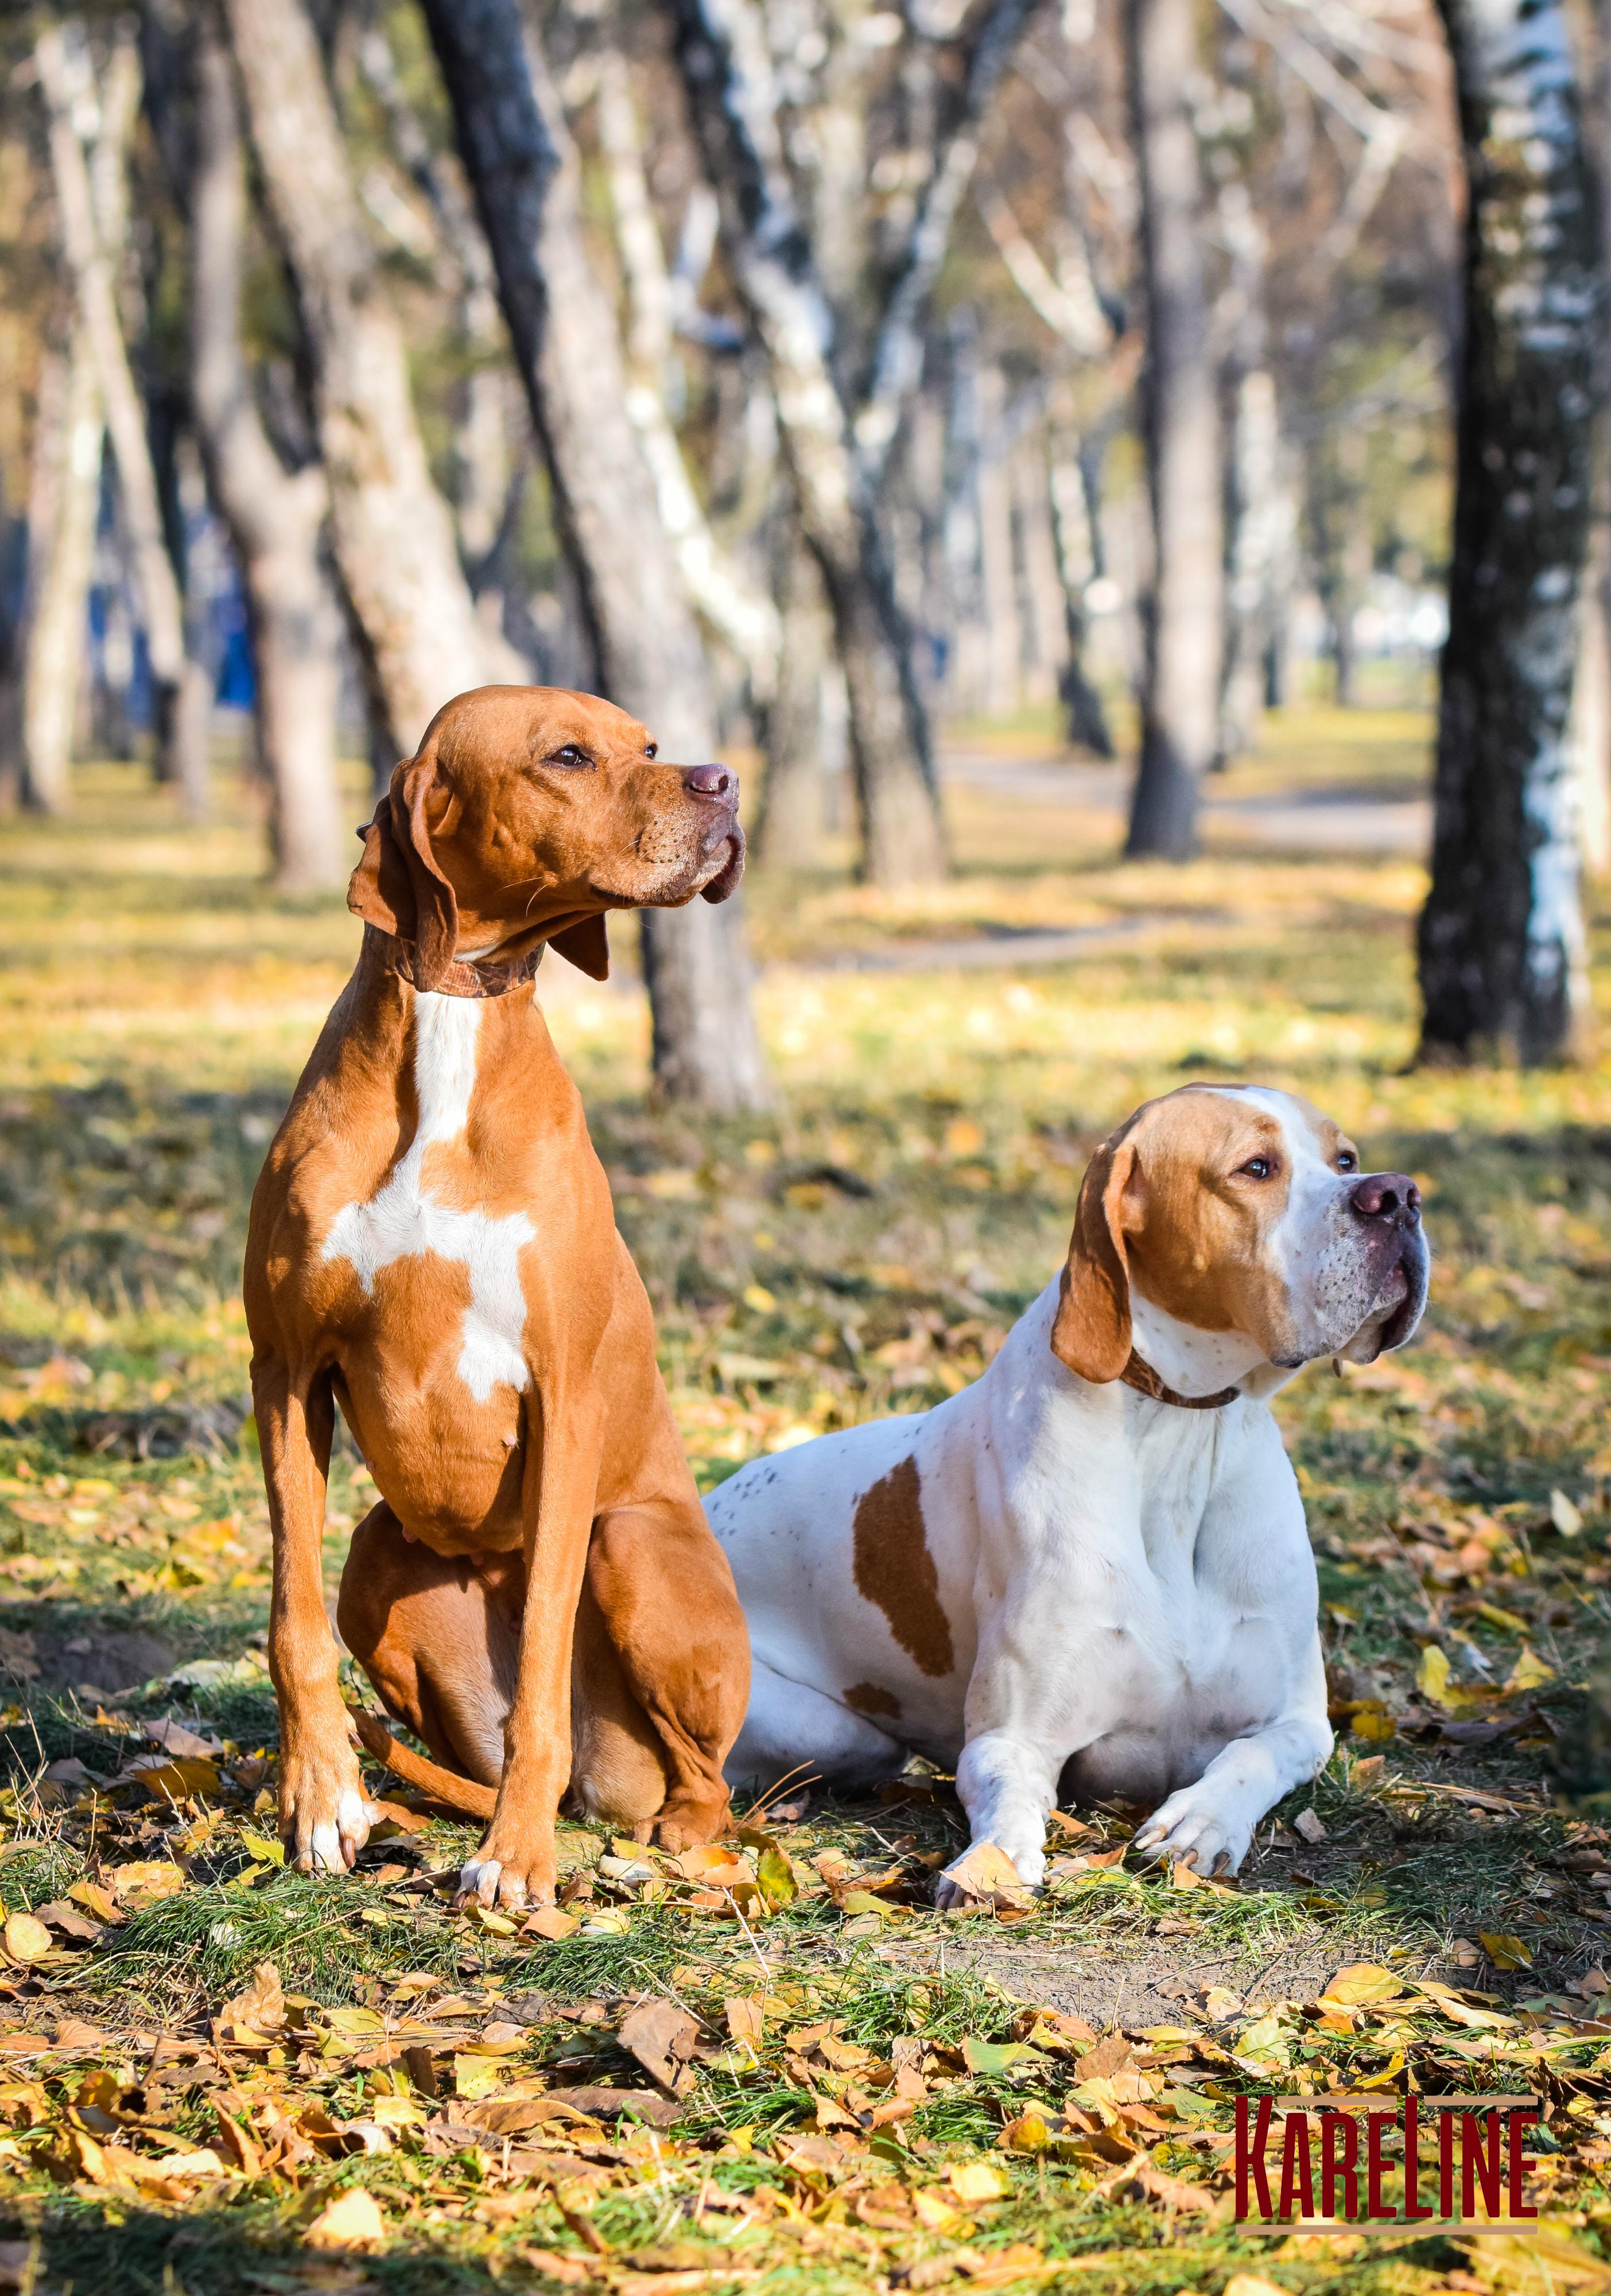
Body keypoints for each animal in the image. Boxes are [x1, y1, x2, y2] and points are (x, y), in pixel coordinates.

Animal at [244, 689, 757, 1910]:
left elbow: (540, 1683)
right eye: (567, 755)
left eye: (648, 746)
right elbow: (290, 1618)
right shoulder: (284, 1372)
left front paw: (516, 1863)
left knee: (705, 1786)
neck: (451, 1018)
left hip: (632, 1545)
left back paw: (663, 1842)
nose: (723, 779)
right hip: (378, 1563)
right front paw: (321, 1799)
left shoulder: (564, 1396)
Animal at [711, 1084, 1432, 1892]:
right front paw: (991, 1867)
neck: (1180, 1431)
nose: (1399, 1196)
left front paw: (1200, 1820)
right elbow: (1007, 1797)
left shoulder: (1299, 1721)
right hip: (830, 1730)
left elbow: (1252, 1753)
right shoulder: (1009, 1738)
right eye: (1255, 1167)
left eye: (1345, 1159)